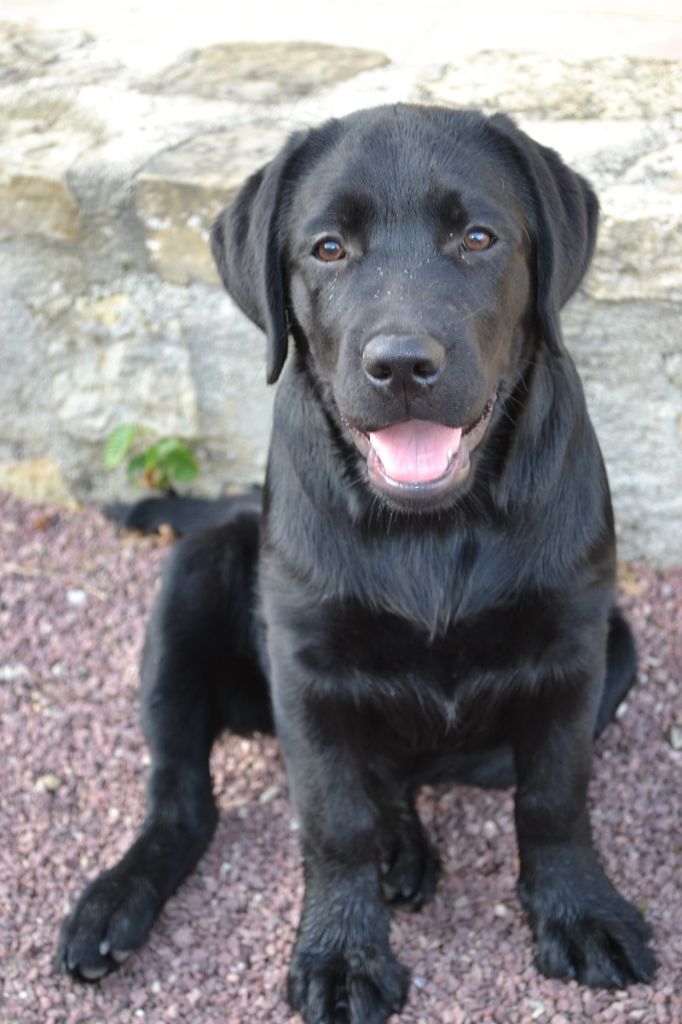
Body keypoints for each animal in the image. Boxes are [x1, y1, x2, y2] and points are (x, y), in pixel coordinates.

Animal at [58, 108, 655, 1019]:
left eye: (478, 237)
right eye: (329, 248)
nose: (401, 364)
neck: (434, 526)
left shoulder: (572, 652)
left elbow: (555, 797)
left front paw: (579, 911)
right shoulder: (307, 674)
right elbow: (333, 820)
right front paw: (341, 953)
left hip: (617, 651)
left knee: (410, 773)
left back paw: (404, 843)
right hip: (186, 599)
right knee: (182, 799)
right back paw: (114, 902)